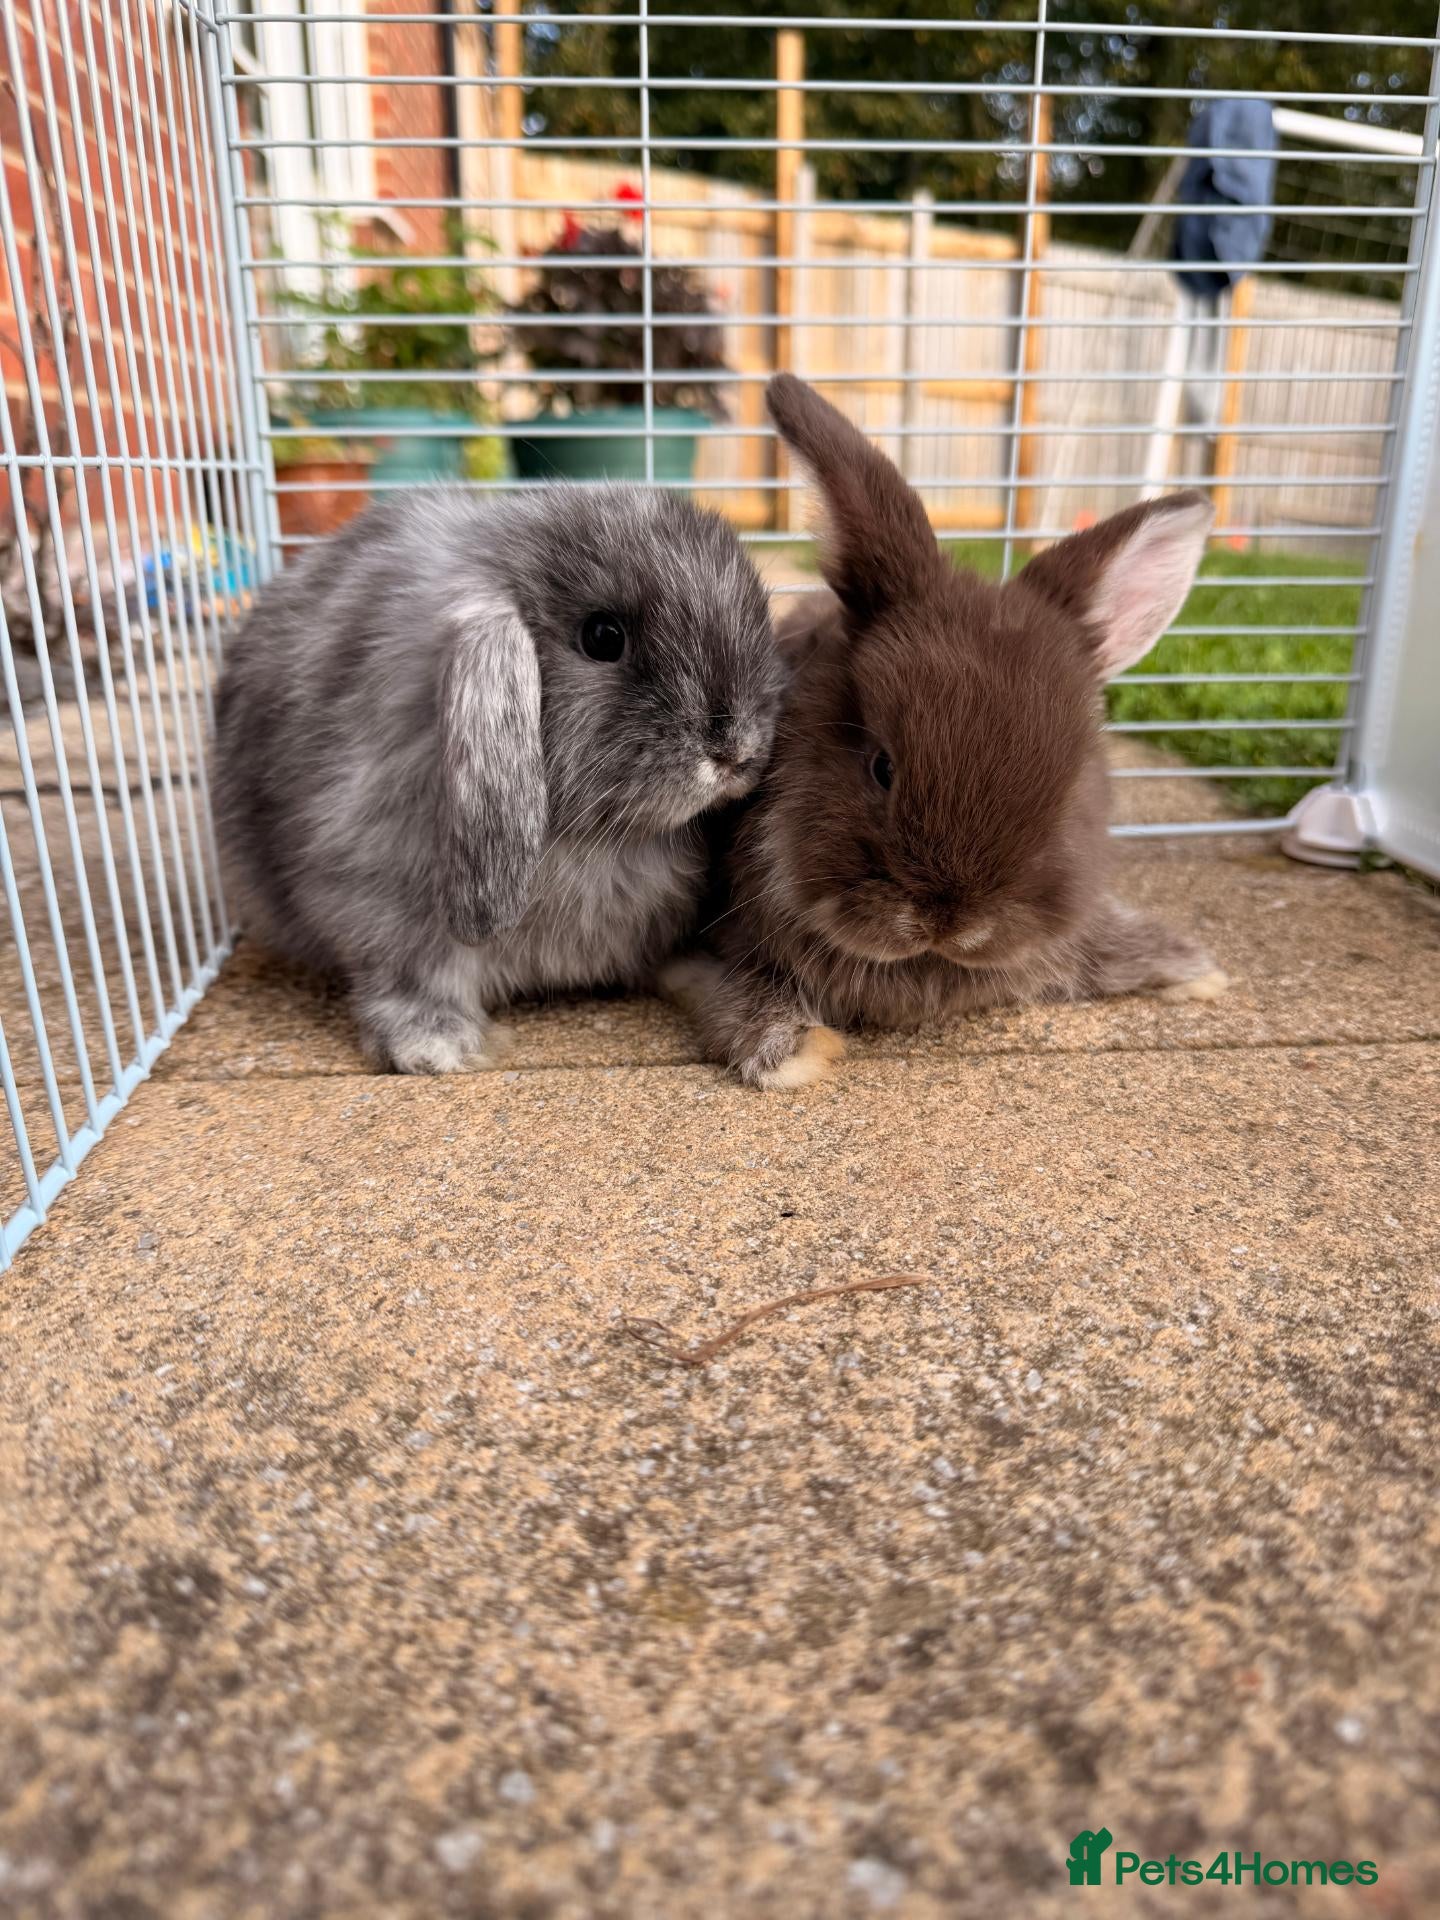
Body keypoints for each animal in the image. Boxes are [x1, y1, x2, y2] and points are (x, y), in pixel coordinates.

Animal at [215, 484, 781, 1072]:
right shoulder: (376, 897)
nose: (738, 750)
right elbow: (404, 978)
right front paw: (435, 1045)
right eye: (603, 637)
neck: (594, 841)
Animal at [663, 374, 1227, 1089]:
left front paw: (1196, 971)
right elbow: (728, 986)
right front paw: (795, 1053)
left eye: (1069, 788)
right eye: (880, 767)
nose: (951, 921)